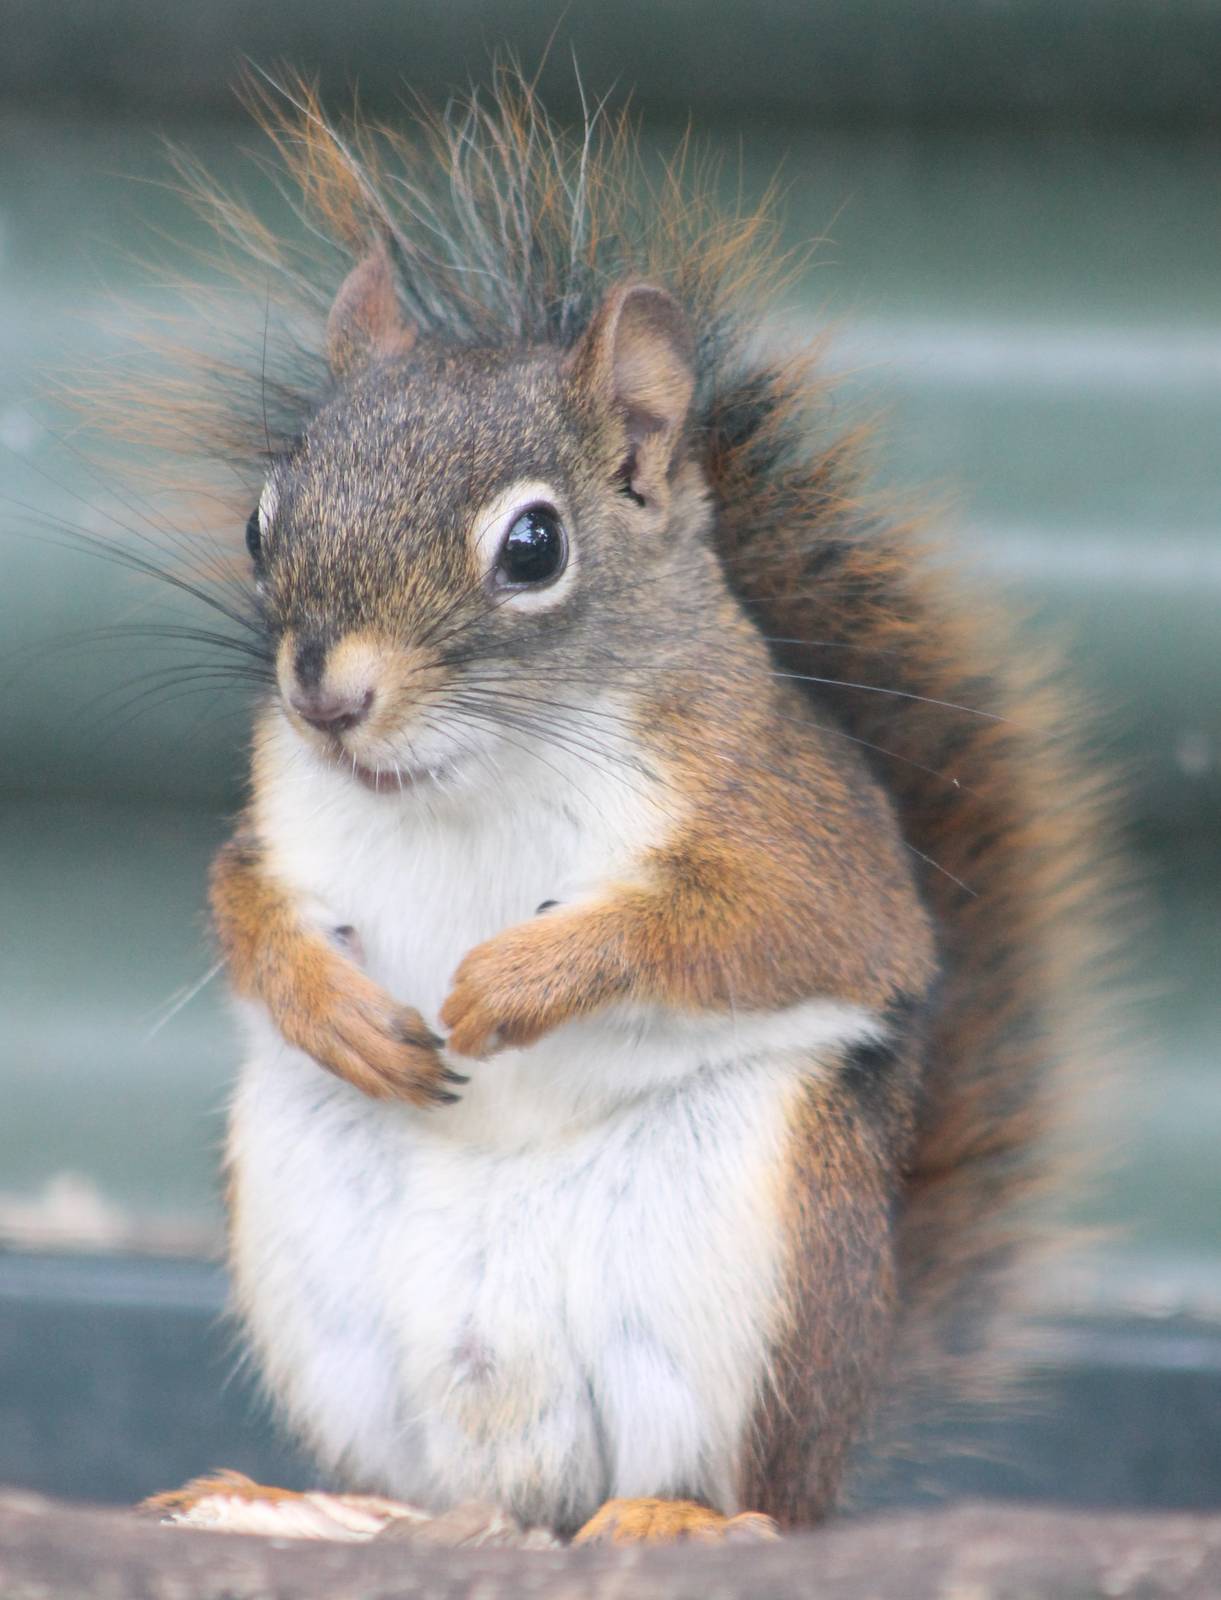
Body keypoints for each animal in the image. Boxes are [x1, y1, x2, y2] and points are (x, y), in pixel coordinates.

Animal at [124, 71, 1109, 1545]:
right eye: (262, 517)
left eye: (533, 547)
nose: (325, 693)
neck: (469, 775)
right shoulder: (278, 811)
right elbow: (243, 905)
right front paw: (333, 1006)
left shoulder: (788, 819)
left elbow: (776, 927)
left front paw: (526, 978)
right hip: (315, 1248)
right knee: (423, 1484)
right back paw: (304, 1502)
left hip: (745, 1262)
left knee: (733, 1485)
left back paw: (676, 1520)